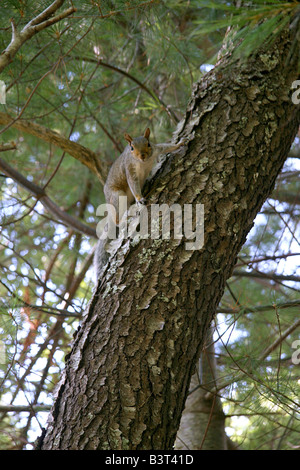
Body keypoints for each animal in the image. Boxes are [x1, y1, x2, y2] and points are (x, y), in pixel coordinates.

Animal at [95, 126, 186, 278]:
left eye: (148, 144)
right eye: (131, 148)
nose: (142, 155)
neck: (143, 163)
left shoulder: (156, 150)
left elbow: (165, 147)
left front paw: (179, 143)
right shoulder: (129, 169)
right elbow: (133, 184)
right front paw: (140, 198)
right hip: (117, 197)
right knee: (117, 219)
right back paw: (125, 217)